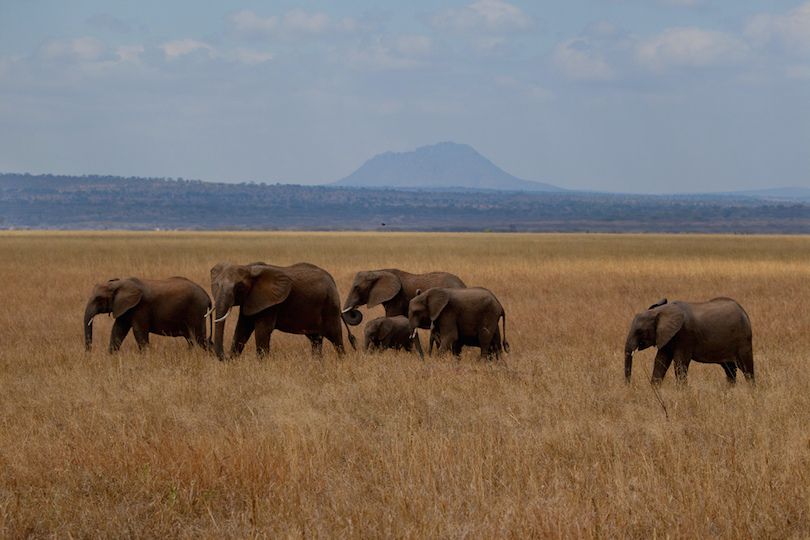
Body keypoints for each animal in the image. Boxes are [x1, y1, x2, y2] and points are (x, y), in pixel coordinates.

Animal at [83, 276, 211, 352]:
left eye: (98, 299)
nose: (89, 353)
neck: (118, 284)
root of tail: (207, 296)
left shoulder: (141, 307)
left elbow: (139, 331)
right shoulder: (124, 308)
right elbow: (117, 330)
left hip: (197, 311)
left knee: (199, 338)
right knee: (192, 339)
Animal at [210, 260, 356, 358]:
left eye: (239, 287)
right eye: (216, 285)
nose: (225, 357)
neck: (248, 268)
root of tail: (332, 281)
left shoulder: (270, 304)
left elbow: (262, 331)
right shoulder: (251, 300)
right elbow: (242, 329)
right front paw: (233, 361)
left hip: (330, 305)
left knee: (336, 338)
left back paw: (341, 361)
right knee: (316, 340)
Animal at [620, 300, 756, 384]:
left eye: (639, 331)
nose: (629, 386)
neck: (661, 311)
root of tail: (744, 312)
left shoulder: (684, 335)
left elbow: (680, 363)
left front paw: (682, 392)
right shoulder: (666, 337)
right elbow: (660, 362)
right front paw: (655, 390)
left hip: (743, 341)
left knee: (746, 369)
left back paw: (752, 391)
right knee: (730, 369)